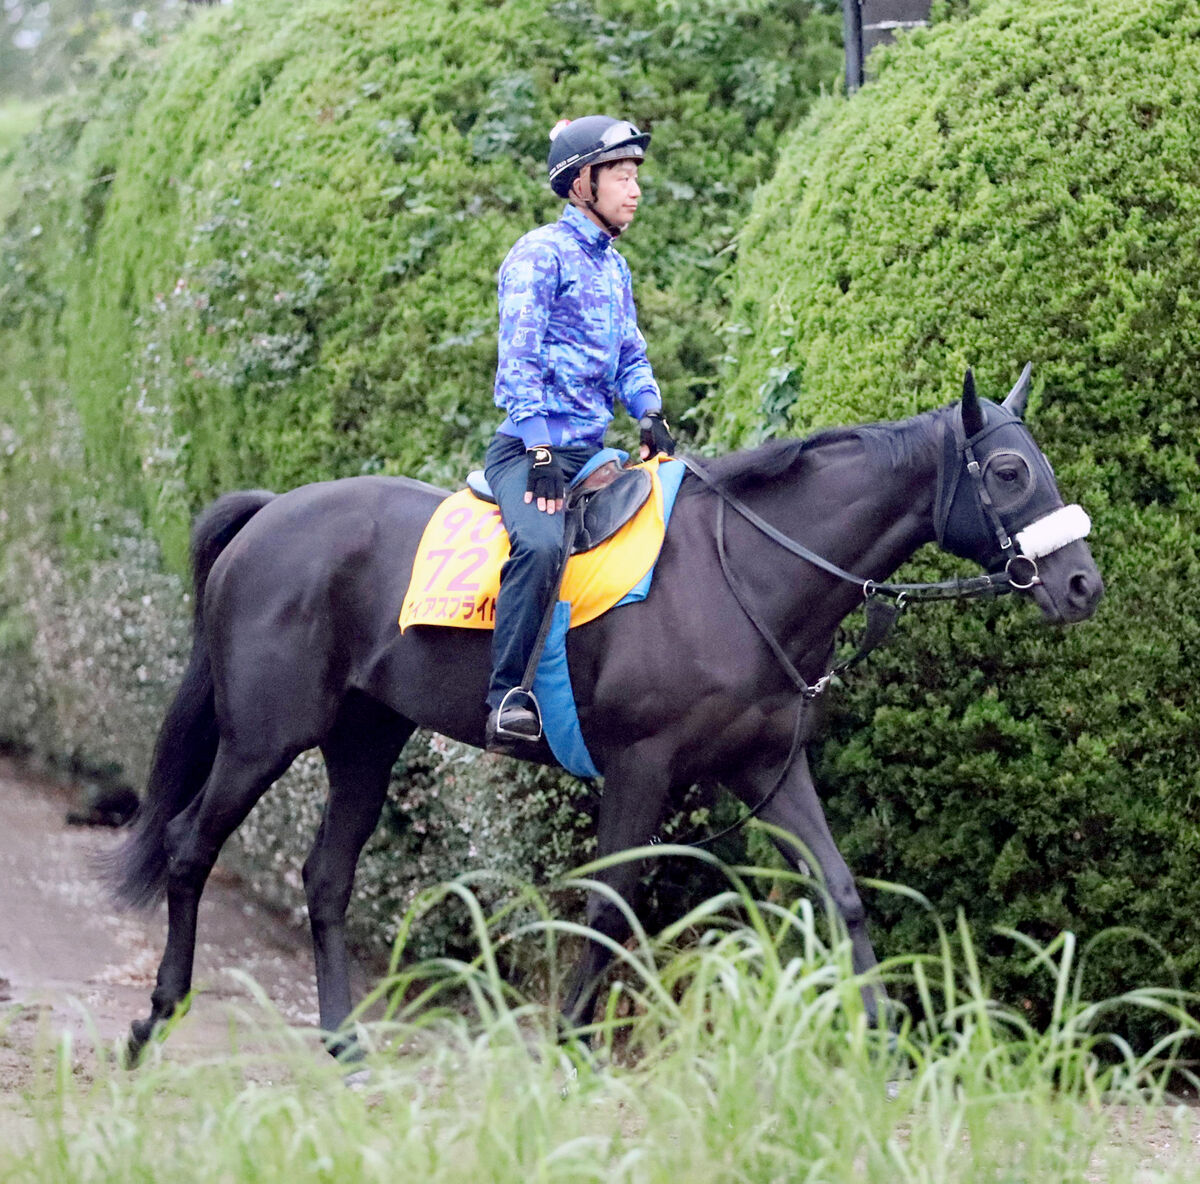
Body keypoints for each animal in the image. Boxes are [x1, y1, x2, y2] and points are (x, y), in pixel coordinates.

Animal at [112, 369, 1104, 1065]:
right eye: (1009, 469)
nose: (1081, 584)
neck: (743, 573)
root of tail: (269, 514)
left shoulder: (766, 767)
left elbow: (841, 890)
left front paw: (886, 1047)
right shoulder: (640, 768)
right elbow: (609, 903)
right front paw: (572, 1048)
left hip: (366, 738)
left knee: (325, 876)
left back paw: (342, 1041)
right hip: (262, 738)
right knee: (193, 845)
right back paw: (157, 1016)